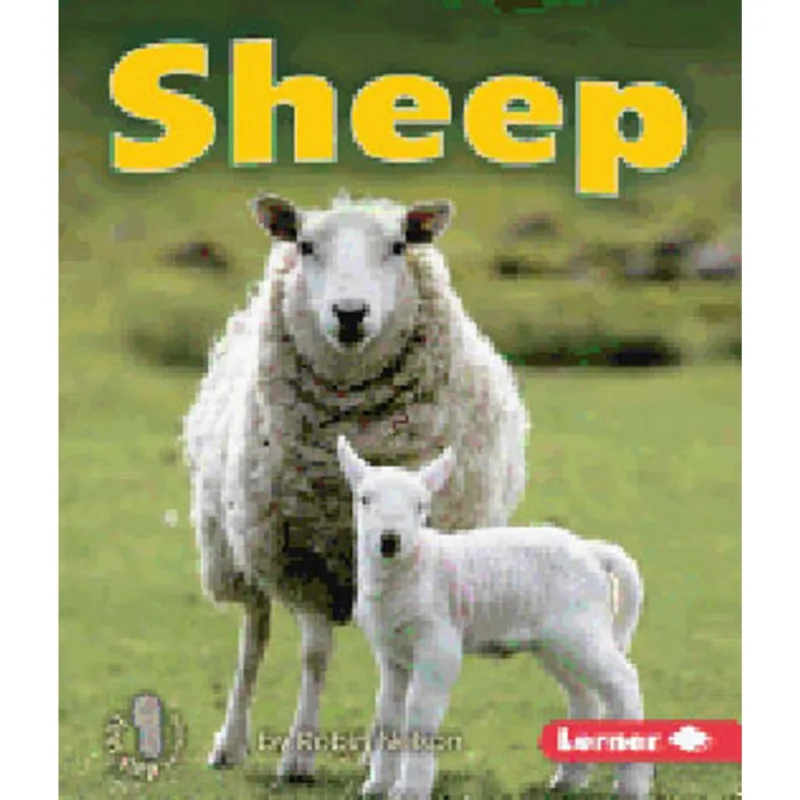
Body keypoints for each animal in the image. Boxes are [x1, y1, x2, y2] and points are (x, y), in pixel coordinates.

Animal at [181, 189, 530, 779]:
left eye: (397, 245)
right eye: (305, 245)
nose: (349, 314)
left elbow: (400, 667)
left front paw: (385, 752)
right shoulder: (299, 561)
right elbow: (314, 654)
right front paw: (298, 756)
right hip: (238, 547)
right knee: (254, 639)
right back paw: (229, 744)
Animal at [337, 435, 651, 800]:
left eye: (420, 505)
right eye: (364, 499)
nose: (389, 540)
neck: (411, 570)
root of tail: (593, 551)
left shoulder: (438, 642)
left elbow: (419, 713)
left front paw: (410, 789)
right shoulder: (390, 652)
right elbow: (388, 713)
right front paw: (377, 785)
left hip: (581, 629)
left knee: (623, 681)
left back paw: (631, 785)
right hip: (555, 642)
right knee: (585, 697)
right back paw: (568, 780)